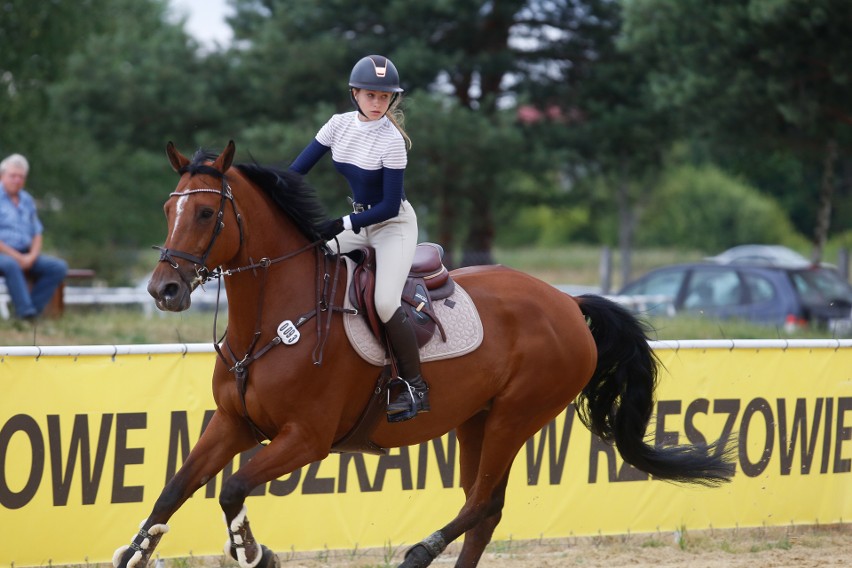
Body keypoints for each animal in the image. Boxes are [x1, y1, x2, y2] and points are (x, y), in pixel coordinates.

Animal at [113, 141, 732, 568]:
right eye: (168, 208)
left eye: (206, 214)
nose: (164, 289)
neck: (271, 320)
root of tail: (565, 302)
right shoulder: (235, 422)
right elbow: (175, 488)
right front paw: (137, 550)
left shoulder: (305, 438)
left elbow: (232, 487)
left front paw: (254, 551)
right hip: (477, 421)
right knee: (485, 509)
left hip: (517, 417)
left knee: (481, 504)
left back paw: (418, 552)